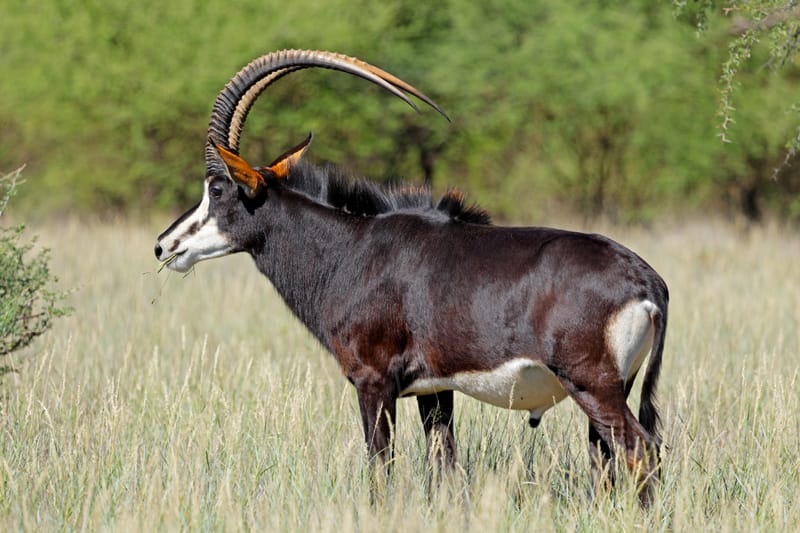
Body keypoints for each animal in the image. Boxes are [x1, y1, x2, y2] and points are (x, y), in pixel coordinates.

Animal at [154, 49, 668, 504]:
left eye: (217, 189)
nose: (164, 246)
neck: (351, 249)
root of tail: (648, 282)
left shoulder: (373, 382)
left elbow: (380, 467)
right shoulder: (435, 390)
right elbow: (445, 466)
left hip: (592, 384)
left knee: (639, 449)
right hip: (612, 388)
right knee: (610, 458)